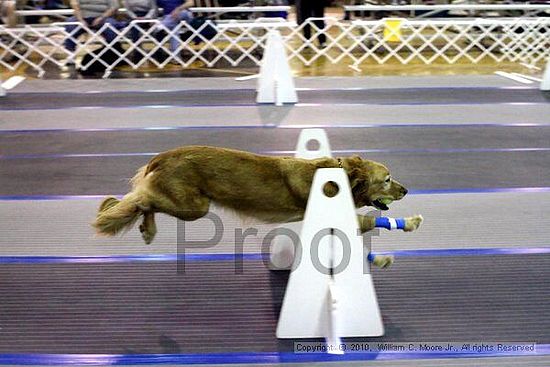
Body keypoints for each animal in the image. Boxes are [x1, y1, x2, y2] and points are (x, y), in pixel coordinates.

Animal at [94, 146, 422, 268]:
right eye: (387, 180)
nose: (407, 190)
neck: (342, 178)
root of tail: (163, 156)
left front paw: (378, 259)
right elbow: (368, 221)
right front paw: (409, 223)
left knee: (143, 200)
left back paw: (145, 228)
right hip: (194, 206)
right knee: (141, 199)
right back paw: (126, 220)